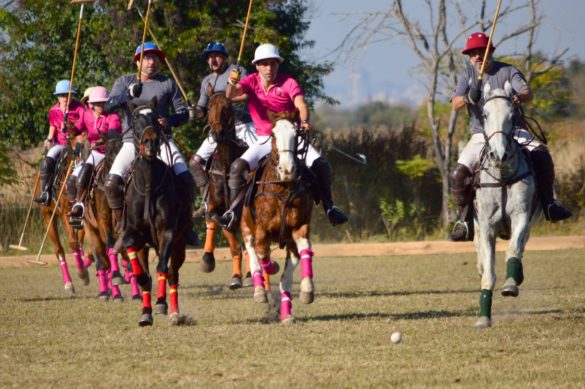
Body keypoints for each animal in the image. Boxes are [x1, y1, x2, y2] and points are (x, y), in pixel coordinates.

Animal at [35, 126, 91, 292]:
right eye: (76, 148)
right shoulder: (66, 213)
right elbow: (72, 243)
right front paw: (82, 274)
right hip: (48, 215)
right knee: (59, 249)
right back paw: (69, 282)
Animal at [121, 99, 187, 324]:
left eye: (156, 117)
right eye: (134, 118)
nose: (150, 142)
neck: (148, 182)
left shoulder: (167, 232)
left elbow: (162, 269)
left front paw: (161, 304)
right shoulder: (133, 233)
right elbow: (142, 274)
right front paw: (146, 312)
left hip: (178, 245)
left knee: (172, 274)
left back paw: (172, 311)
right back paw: (147, 309)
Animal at [197, 85, 250, 288]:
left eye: (228, 106)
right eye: (209, 106)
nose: (218, 132)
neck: (227, 164)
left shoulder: (239, 209)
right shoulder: (216, 203)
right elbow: (214, 218)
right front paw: (208, 261)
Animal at [240, 110, 314, 322]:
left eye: (297, 134)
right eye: (272, 134)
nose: (287, 170)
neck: (282, 188)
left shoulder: (299, 228)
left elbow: (305, 251)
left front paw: (307, 291)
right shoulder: (261, 229)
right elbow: (261, 252)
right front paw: (272, 266)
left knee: (287, 273)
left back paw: (287, 313)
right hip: (245, 226)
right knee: (251, 250)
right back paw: (259, 290)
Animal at [472, 81, 540, 328]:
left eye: (513, 115)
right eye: (484, 114)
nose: (498, 155)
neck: (502, 175)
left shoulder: (521, 215)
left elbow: (513, 249)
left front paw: (511, 284)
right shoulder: (487, 226)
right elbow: (488, 275)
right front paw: (483, 318)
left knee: (519, 248)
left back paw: (516, 275)